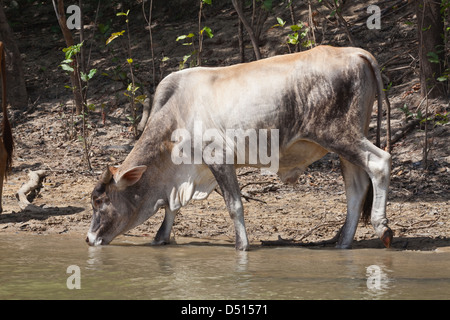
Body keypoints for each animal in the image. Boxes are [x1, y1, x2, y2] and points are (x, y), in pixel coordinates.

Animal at [86, 45, 392, 250]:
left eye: (100, 202)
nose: (89, 239)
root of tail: (355, 52)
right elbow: (172, 209)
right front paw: (160, 237)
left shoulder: (218, 158)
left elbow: (234, 205)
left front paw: (242, 246)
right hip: (345, 144)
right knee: (355, 187)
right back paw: (343, 242)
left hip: (339, 134)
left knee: (379, 162)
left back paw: (382, 227)